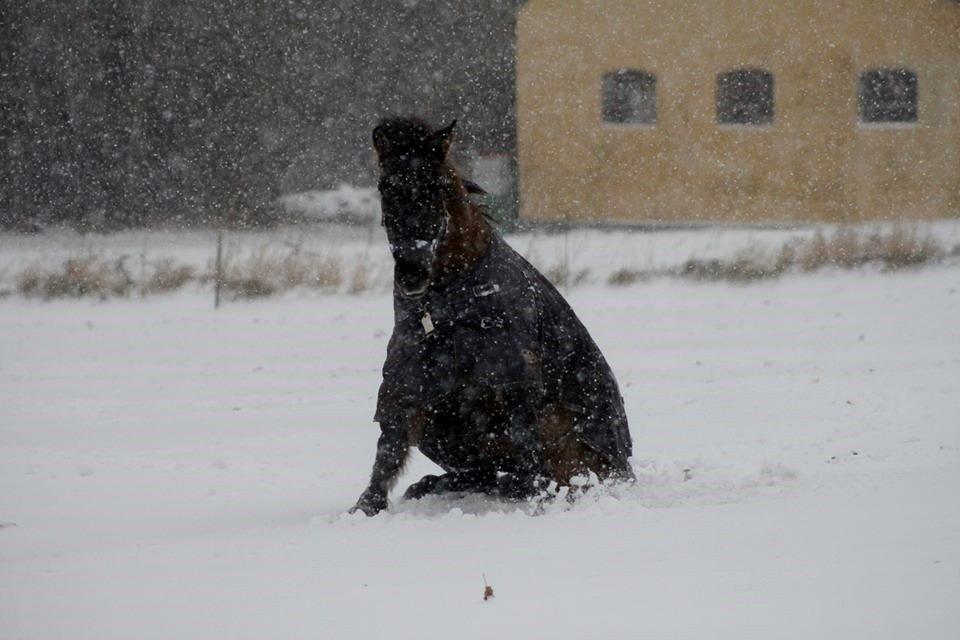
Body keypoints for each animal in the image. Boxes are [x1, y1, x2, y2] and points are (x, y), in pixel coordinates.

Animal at [348, 116, 632, 516]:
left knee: (539, 476)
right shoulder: (409, 376)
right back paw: (431, 484)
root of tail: (625, 472)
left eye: (436, 187)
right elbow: (388, 451)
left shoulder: (512, 378)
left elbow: (530, 472)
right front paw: (366, 506)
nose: (411, 272)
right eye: (385, 186)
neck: (449, 303)